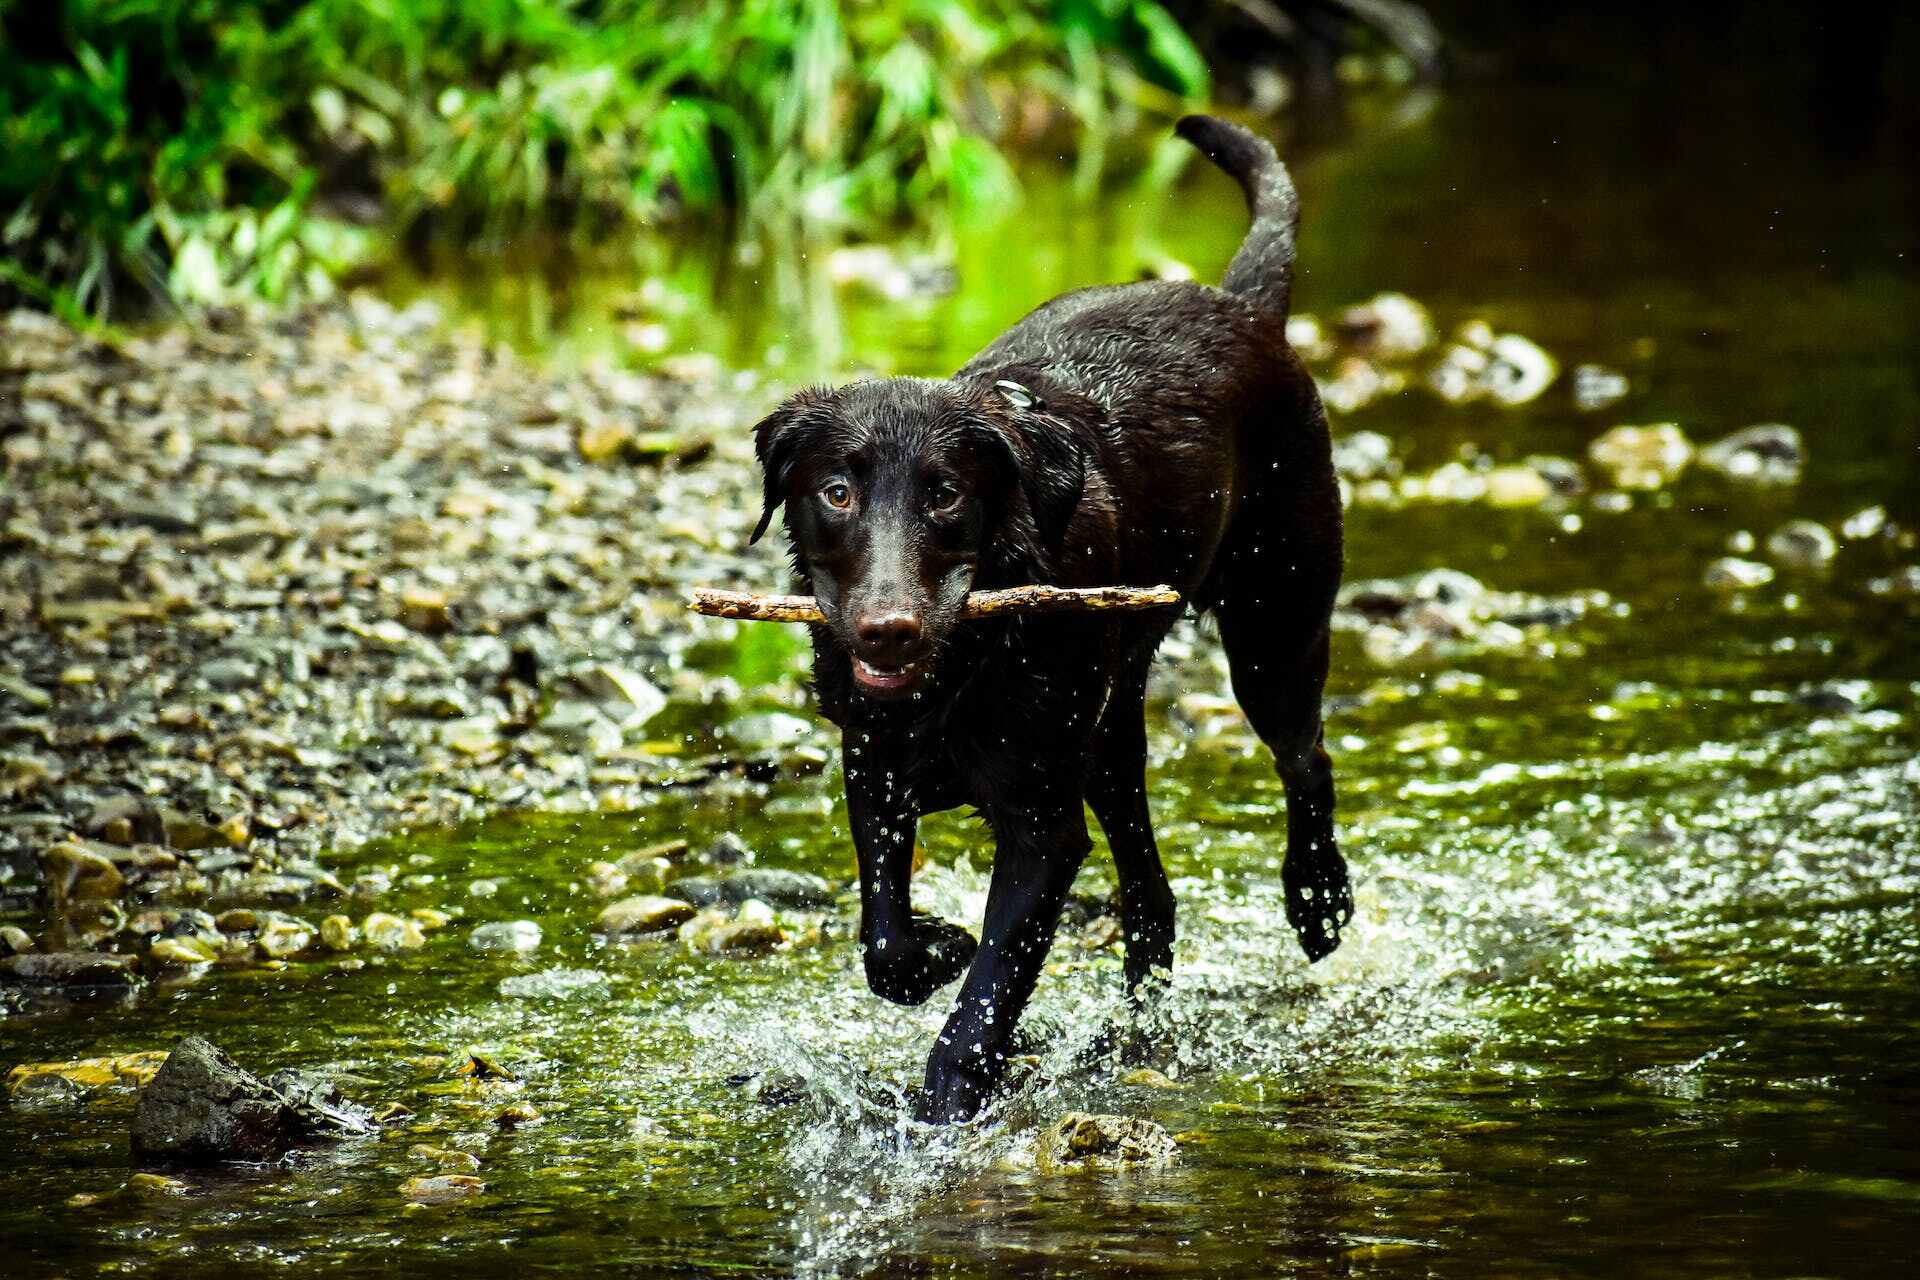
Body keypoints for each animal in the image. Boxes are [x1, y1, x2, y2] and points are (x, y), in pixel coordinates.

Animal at [748, 115, 1351, 1128]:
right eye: (835, 492)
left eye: (945, 495)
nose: (887, 631)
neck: (961, 670)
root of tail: (1241, 305)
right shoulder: (874, 770)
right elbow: (887, 945)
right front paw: (938, 945)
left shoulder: (1040, 826)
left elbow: (993, 985)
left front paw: (953, 1094)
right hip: (1110, 732)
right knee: (1150, 889)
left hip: (1275, 627)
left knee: (1305, 759)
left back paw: (1318, 900)